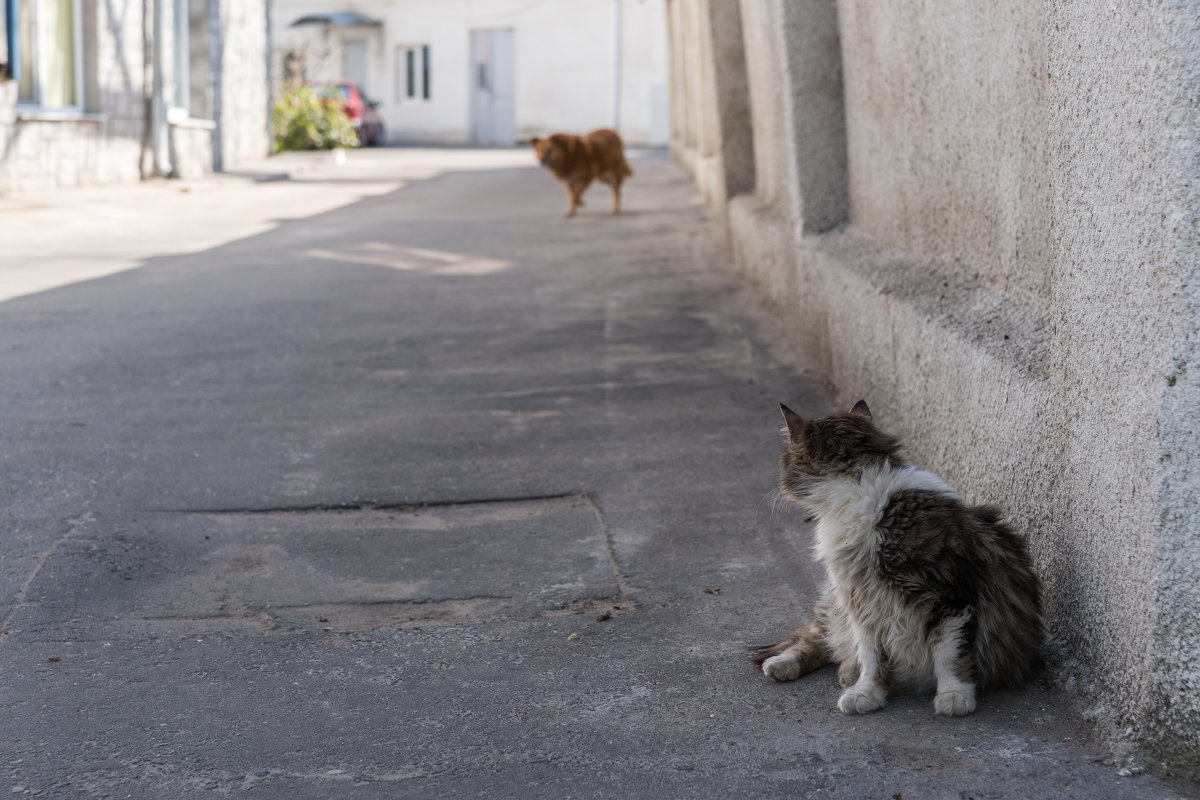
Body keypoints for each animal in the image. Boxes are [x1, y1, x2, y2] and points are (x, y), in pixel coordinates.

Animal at [753, 402, 1046, 714]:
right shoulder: (863, 602)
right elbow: (871, 657)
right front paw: (868, 693)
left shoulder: (952, 596)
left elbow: (950, 655)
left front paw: (954, 696)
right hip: (835, 603)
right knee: (817, 636)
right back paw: (788, 665)